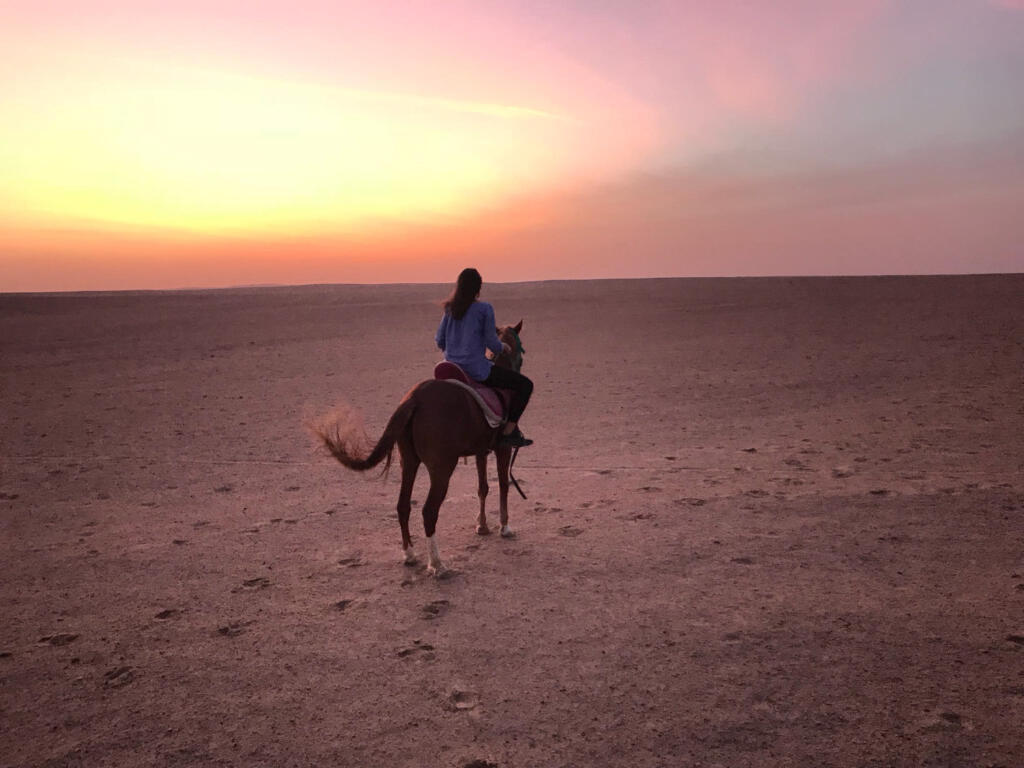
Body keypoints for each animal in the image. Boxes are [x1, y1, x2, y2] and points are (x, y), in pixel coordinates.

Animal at [313, 319, 528, 577]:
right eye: (521, 351)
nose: (519, 367)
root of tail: (415, 398)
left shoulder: (480, 450)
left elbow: (482, 488)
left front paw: (482, 525)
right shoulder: (502, 449)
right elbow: (503, 485)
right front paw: (504, 526)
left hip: (409, 460)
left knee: (403, 505)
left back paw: (409, 554)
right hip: (442, 468)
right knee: (428, 511)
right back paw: (437, 564)